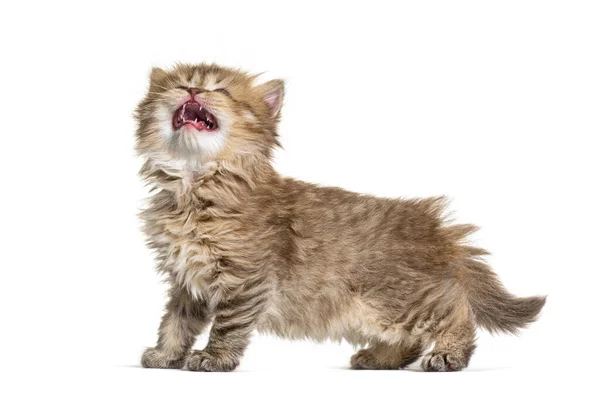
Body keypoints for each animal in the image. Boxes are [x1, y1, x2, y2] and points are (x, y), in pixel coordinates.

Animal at [135, 63, 544, 372]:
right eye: (179, 84)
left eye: (220, 90)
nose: (192, 90)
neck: (194, 185)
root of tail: (436, 227)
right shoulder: (186, 282)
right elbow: (175, 322)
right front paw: (166, 354)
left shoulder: (245, 278)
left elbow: (227, 325)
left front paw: (214, 358)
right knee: (411, 338)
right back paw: (379, 358)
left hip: (395, 297)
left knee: (455, 312)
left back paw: (448, 354)